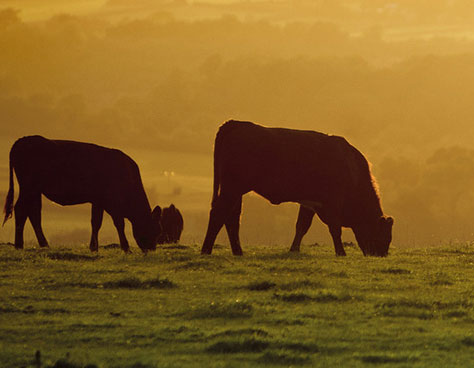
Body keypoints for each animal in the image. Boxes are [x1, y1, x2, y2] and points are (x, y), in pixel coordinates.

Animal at [2, 135, 163, 253]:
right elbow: (119, 223)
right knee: (21, 209)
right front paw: (126, 248)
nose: (151, 249)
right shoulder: (112, 203)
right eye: (153, 229)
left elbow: (96, 222)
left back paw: (43, 244)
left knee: (33, 213)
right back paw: (19, 245)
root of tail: (23, 140)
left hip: (34, 190)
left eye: (159, 231)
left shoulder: (98, 201)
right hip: (28, 187)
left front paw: (94, 247)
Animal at [202, 120, 394, 256]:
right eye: (384, 234)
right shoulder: (333, 203)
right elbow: (335, 229)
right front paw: (341, 252)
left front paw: (294, 249)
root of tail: (236, 124)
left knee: (232, 218)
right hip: (231, 188)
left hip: (236, 191)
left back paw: (238, 252)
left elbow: (302, 226)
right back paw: (206, 250)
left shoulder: (310, 203)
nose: (381, 254)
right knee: (219, 214)